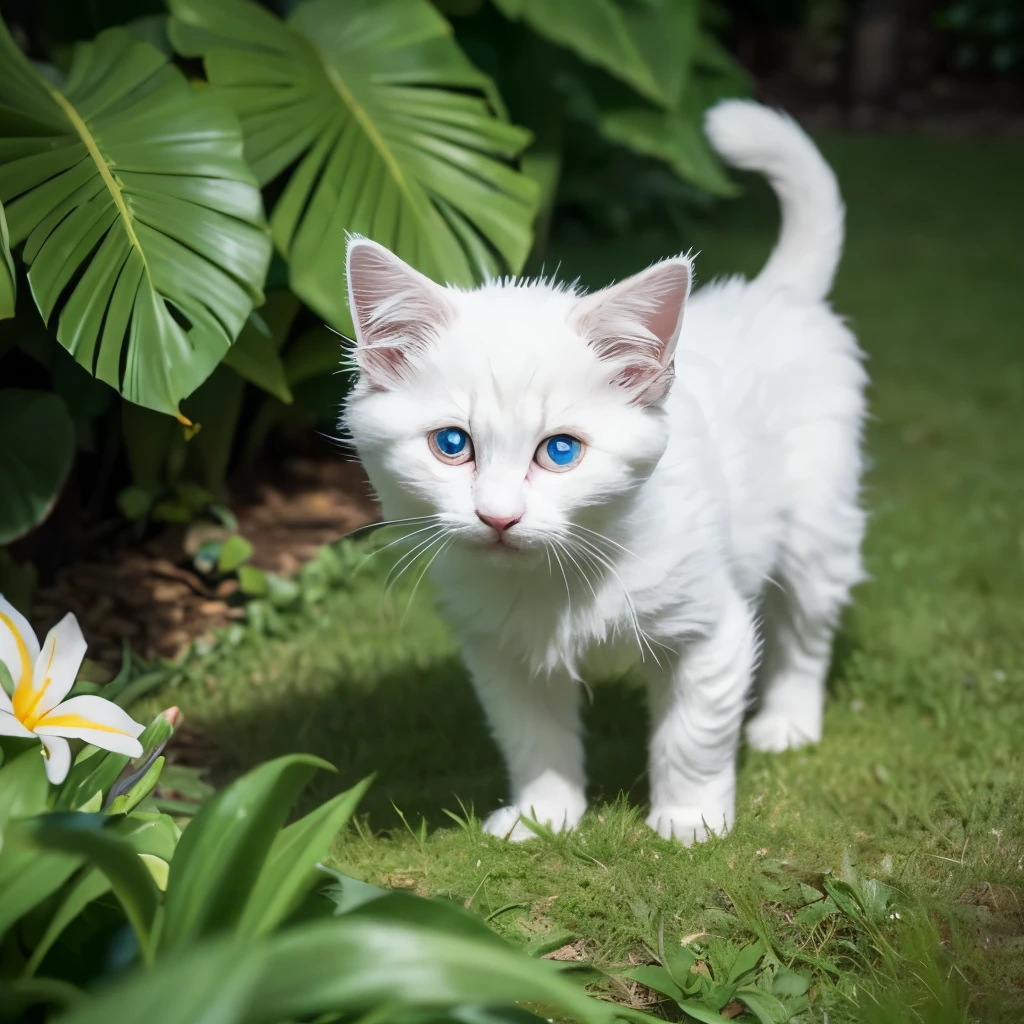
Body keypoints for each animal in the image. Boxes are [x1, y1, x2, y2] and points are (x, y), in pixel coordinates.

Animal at [342, 99, 864, 843]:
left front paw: (690, 821)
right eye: (452, 444)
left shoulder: (712, 631)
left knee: (805, 629)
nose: (498, 517)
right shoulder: (501, 652)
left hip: (818, 525)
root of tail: (774, 293)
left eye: (560, 451)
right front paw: (543, 816)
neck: (557, 585)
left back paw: (788, 722)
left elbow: (694, 735)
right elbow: (533, 738)